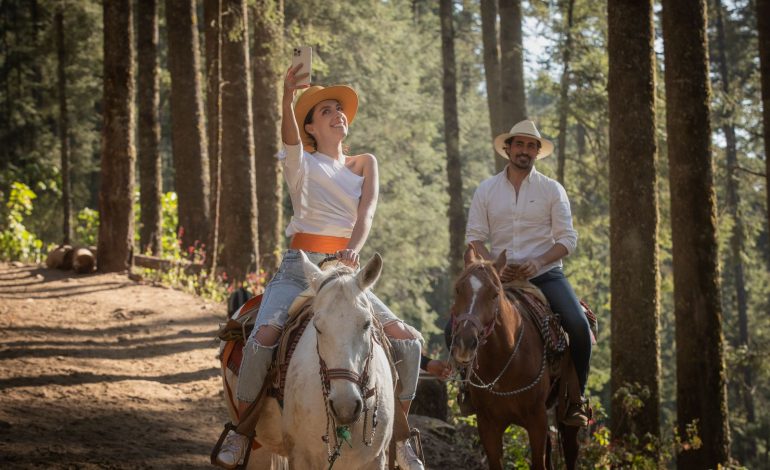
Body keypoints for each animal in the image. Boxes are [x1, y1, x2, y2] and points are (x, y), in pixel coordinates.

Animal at [220, 253, 390, 470]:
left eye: (367, 324)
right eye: (317, 326)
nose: (345, 406)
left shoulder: (376, 459)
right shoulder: (301, 457)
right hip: (257, 447)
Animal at [450, 246, 576, 470]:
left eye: (494, 294)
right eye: (458, 289)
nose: (465, 342)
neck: (505, 360)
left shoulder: (537, 420)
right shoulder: (487, 424)